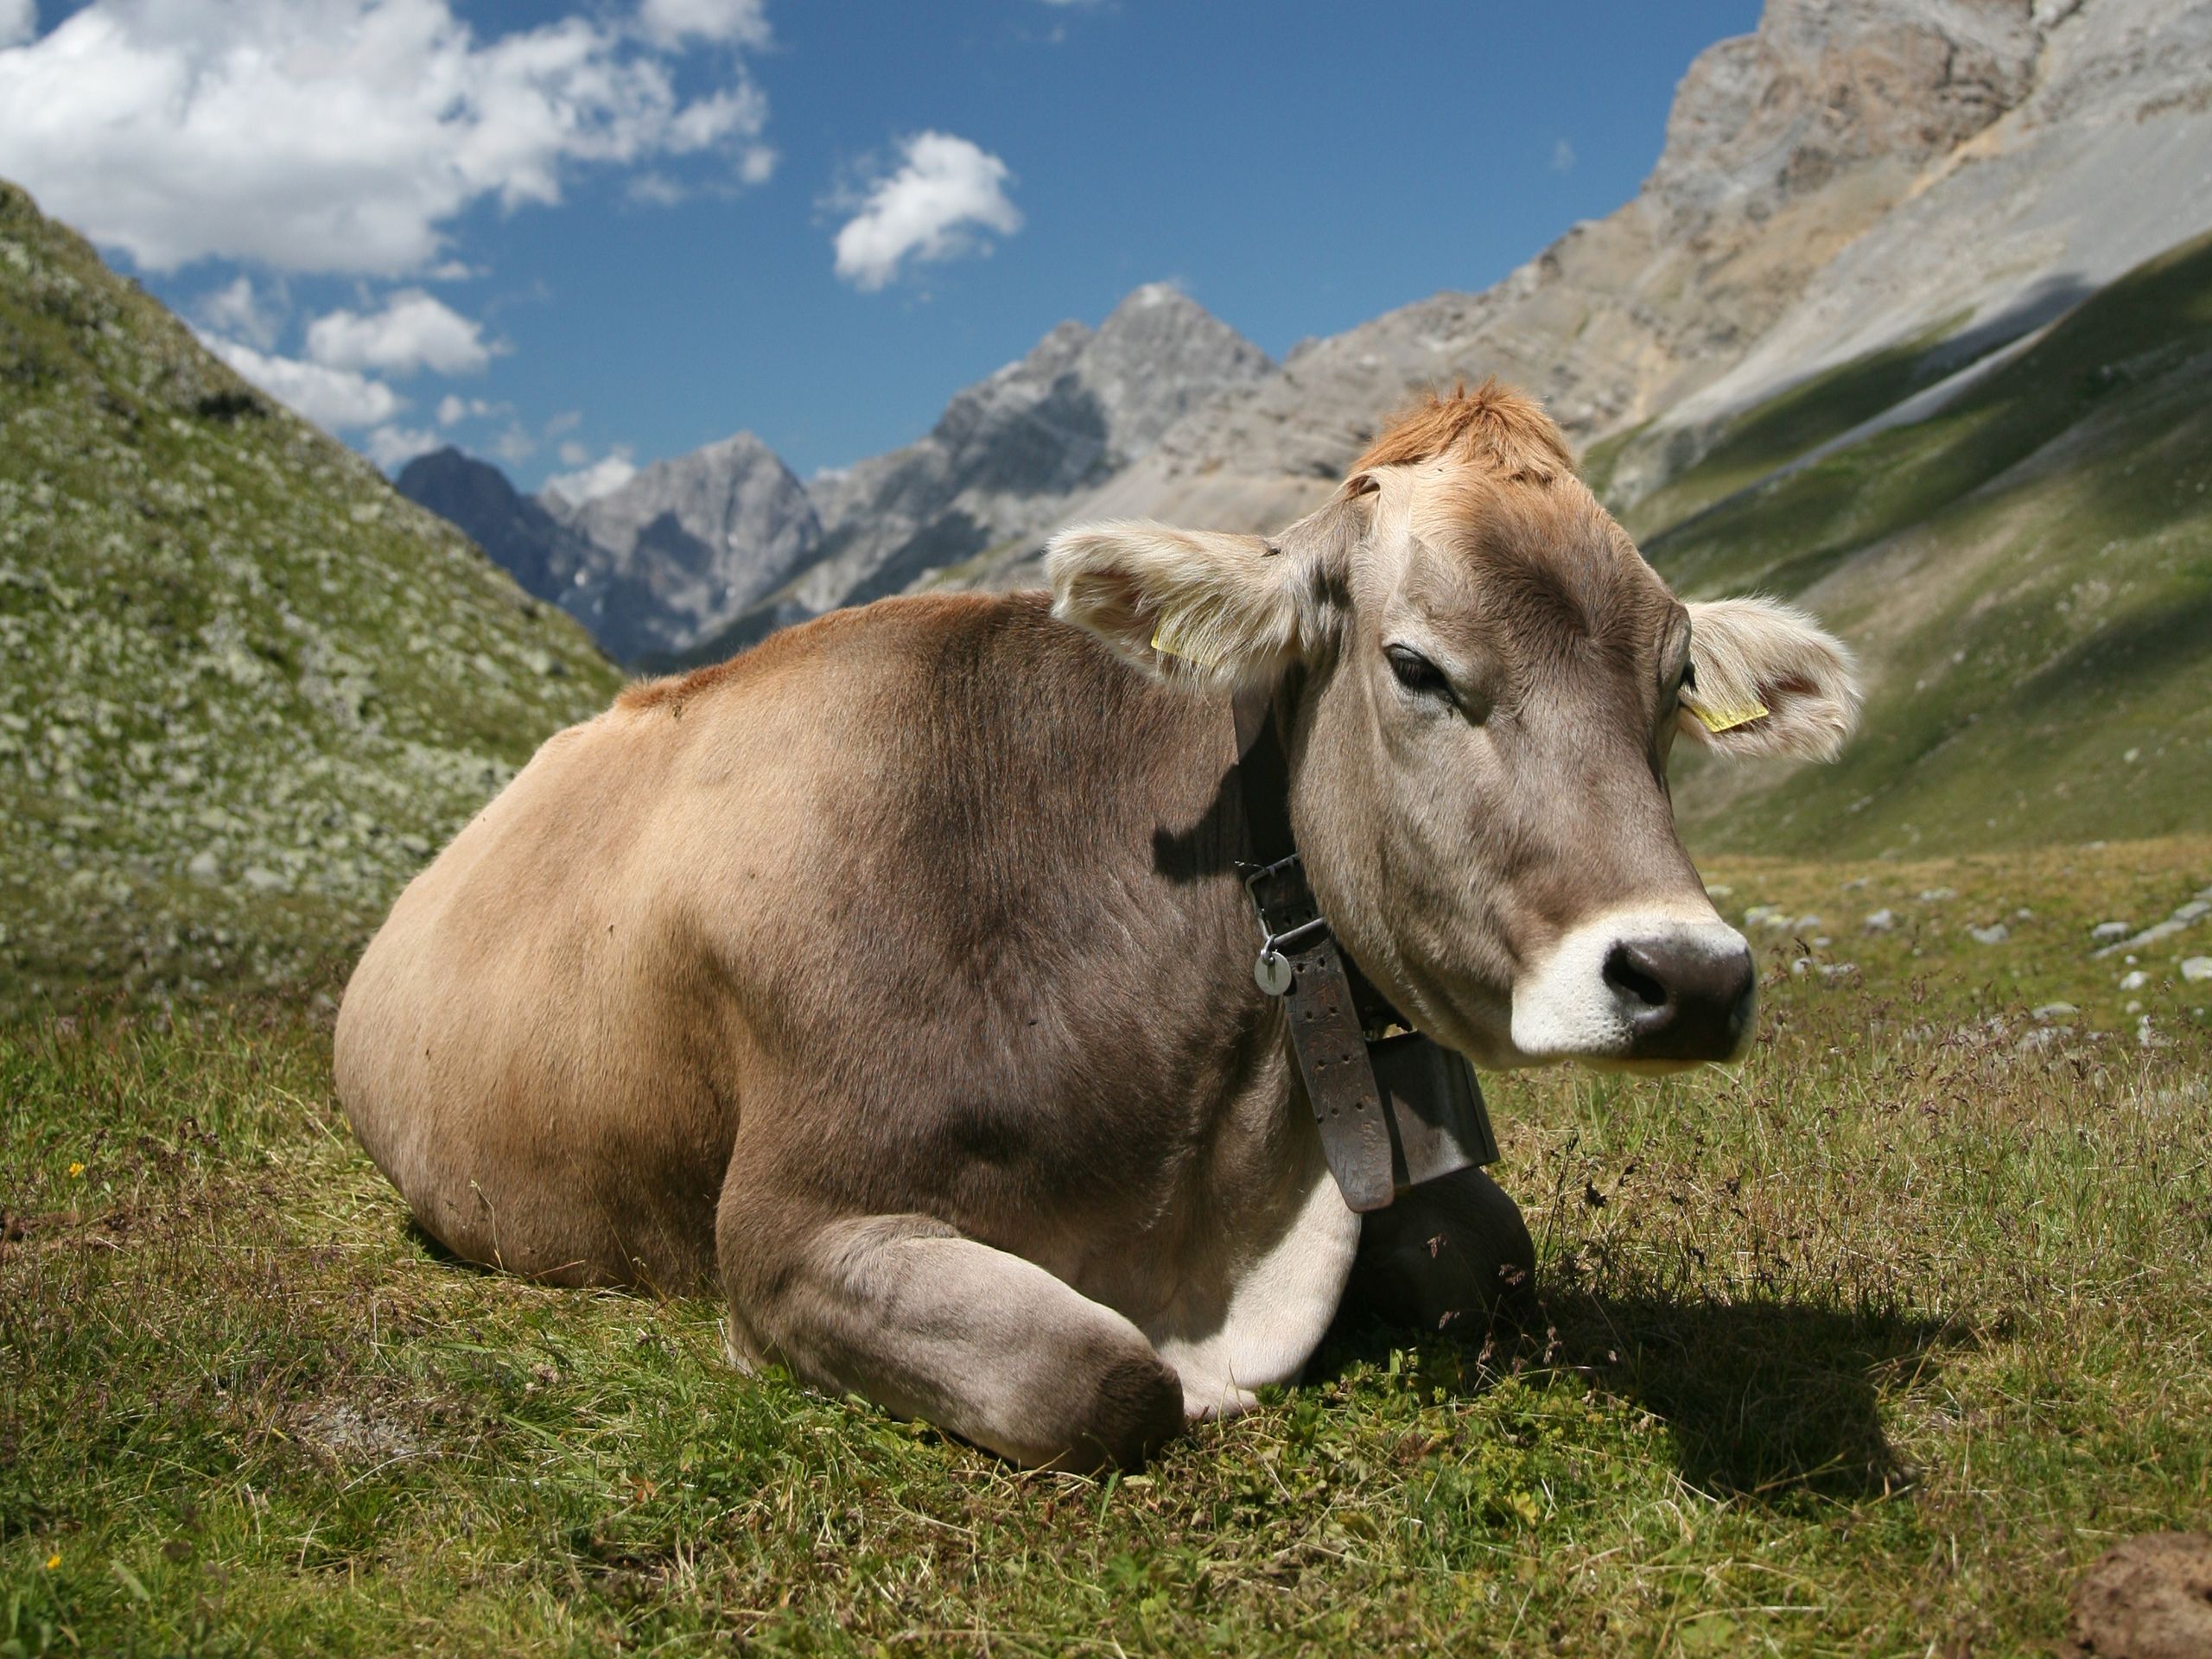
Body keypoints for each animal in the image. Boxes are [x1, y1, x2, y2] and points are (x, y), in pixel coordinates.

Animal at [335, 383, 1858, 1472]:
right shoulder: (787, 1232)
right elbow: (1103, 1380)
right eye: (1416, 665)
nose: (1687, 977)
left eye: (1673, 681)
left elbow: (1491, 1256)